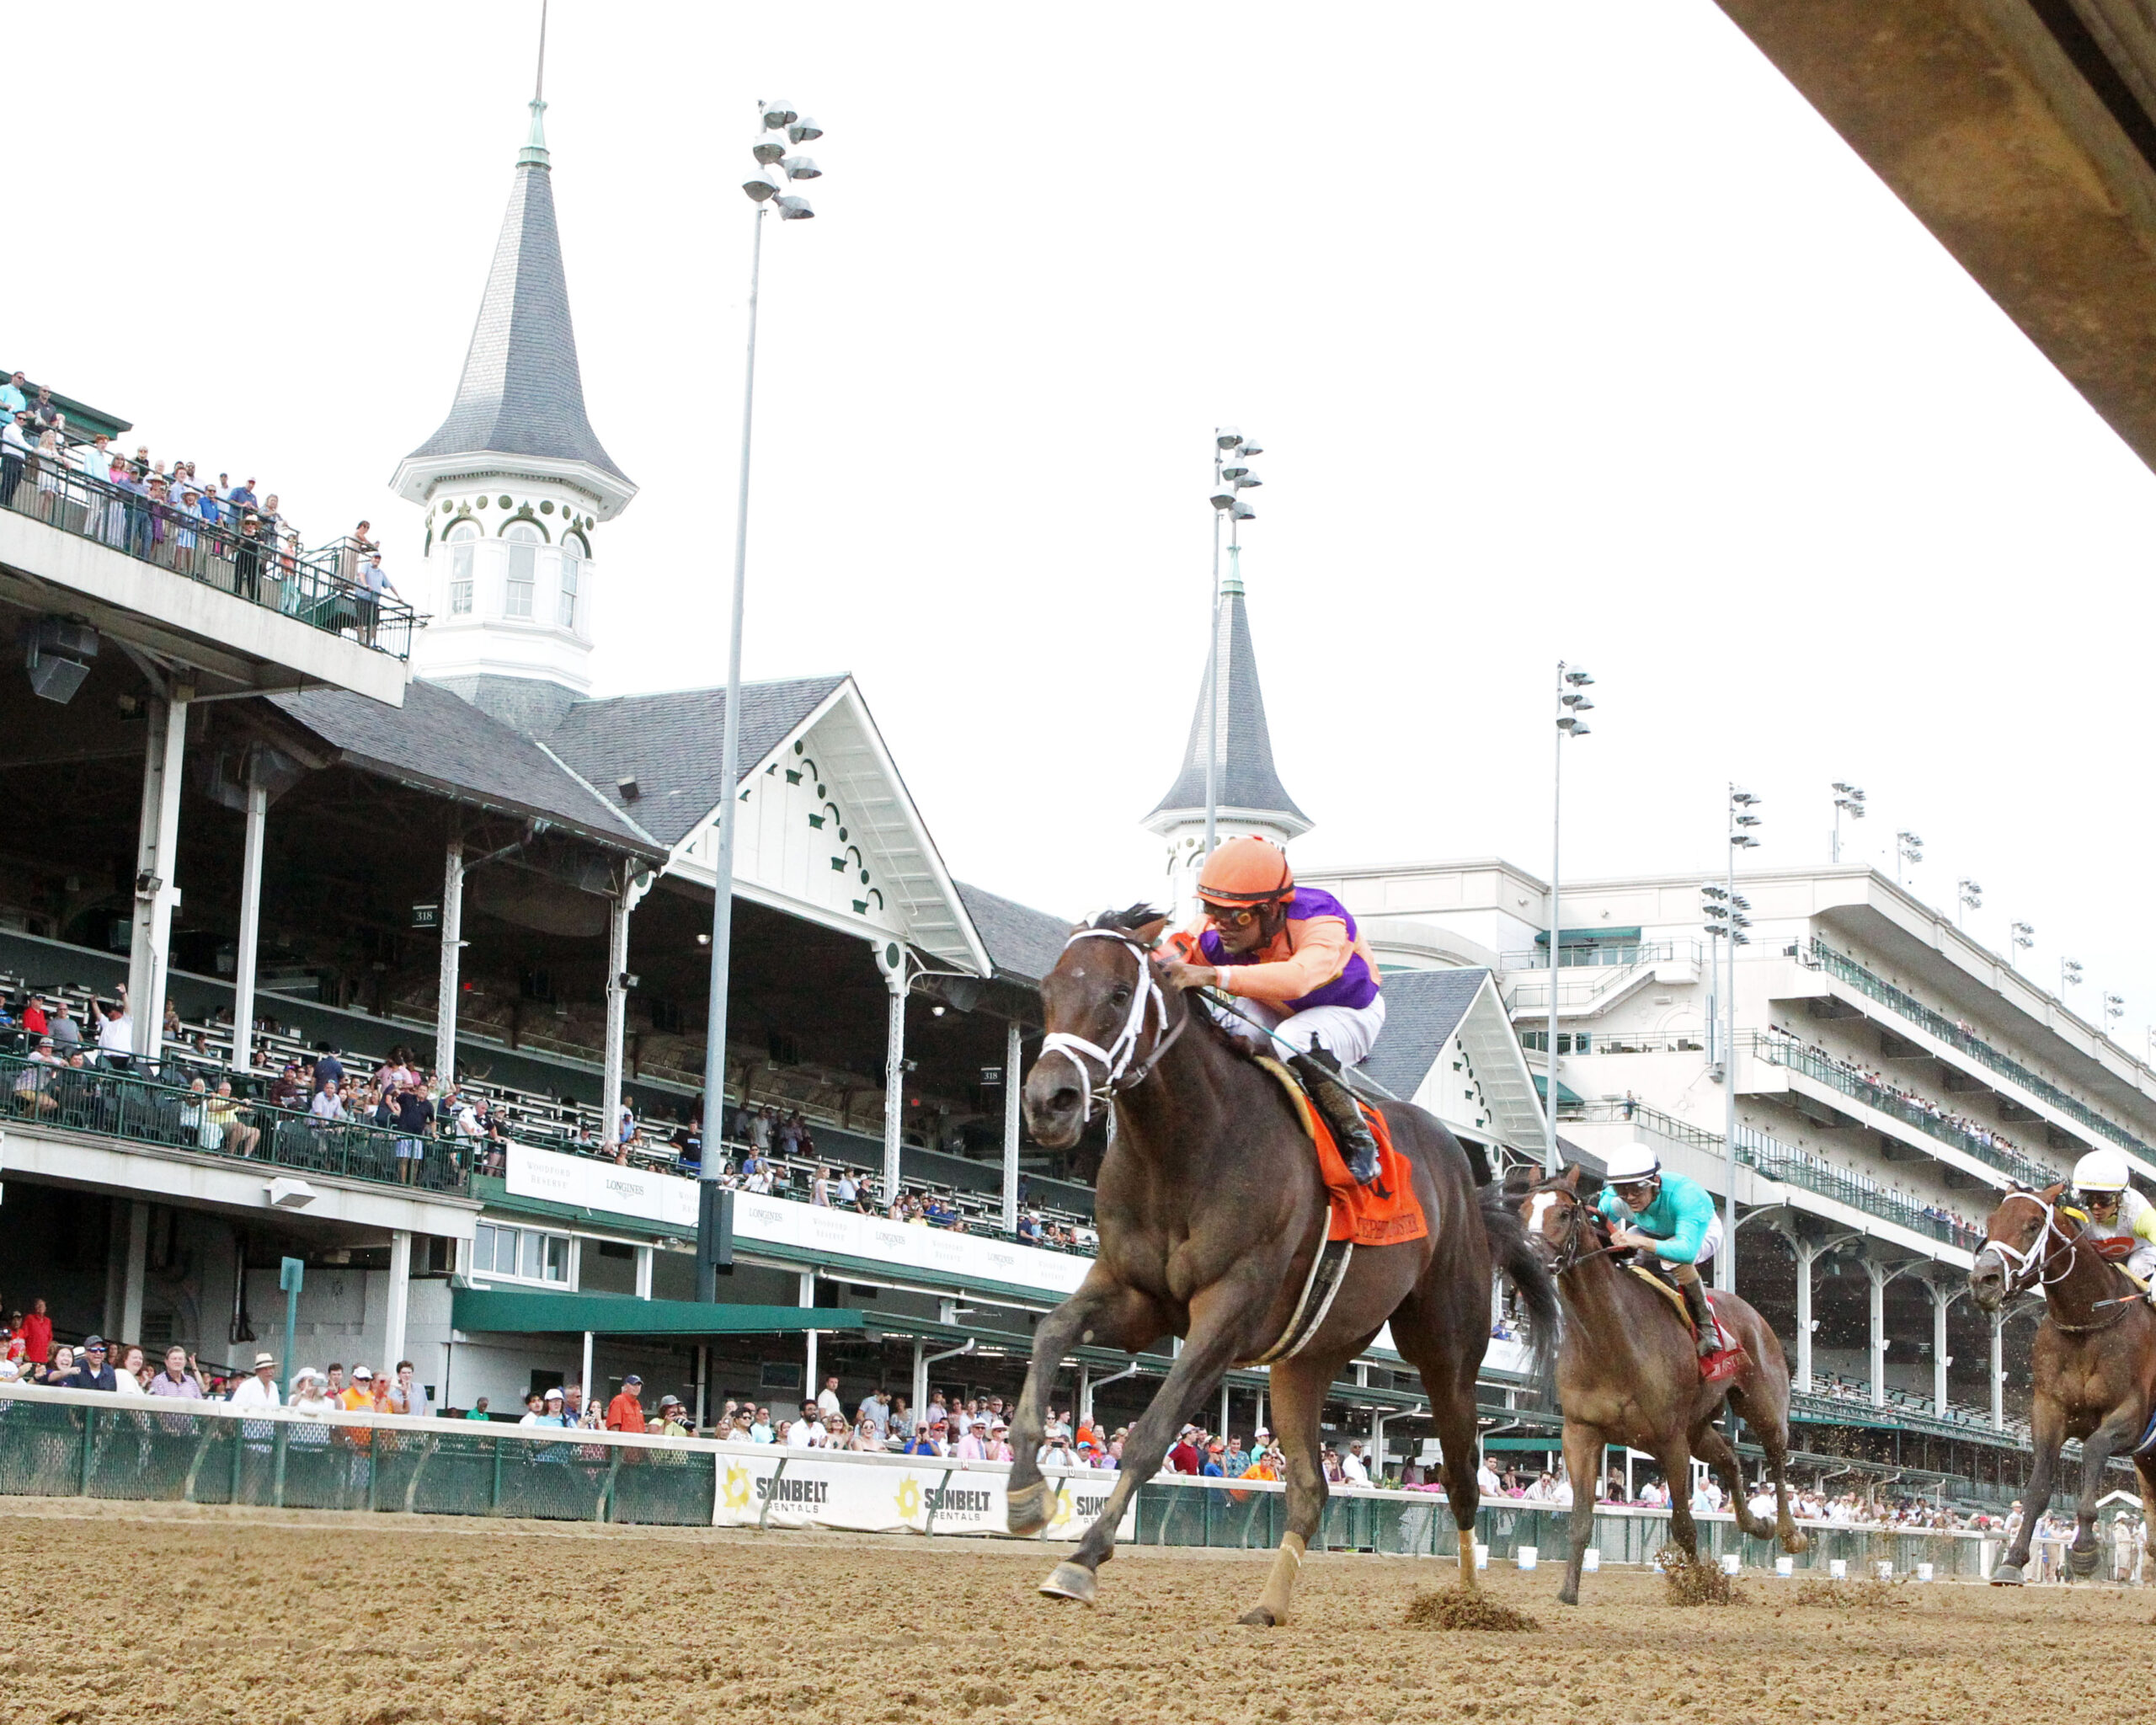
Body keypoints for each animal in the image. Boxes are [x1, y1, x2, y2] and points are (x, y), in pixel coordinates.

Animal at [1000, 910, 1561, 1621]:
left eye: (1120, 995)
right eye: (1047, 991)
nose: (1051, 1101)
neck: (1185, 1148)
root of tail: (1466, 1173)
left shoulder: (1229, 1308)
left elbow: (1153, 1431)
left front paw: (1082, 1558)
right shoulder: (1135, 1294)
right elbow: (1050, 1333)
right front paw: (1025, 1493)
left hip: (1446, 1347)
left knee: (1462, 1478)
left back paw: (1466, 1604)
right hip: (1308, 1356)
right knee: (1310, 1485)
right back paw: (1270, 1603)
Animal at [1526, 1164, 1811, 1612]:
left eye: (1565, 1214)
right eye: (1521, 1209)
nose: (1529, 1259)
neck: (1611, 1339)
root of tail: (1753, 1315)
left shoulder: (1669, 1437)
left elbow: (1684, 1525)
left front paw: (1701, 1587)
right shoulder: (1581, 1432)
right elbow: (1581, 1519)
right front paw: (1568, 1591)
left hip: (1761, 1407)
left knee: (1777, 1461)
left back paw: (1788, 1531)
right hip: (1698, 1427)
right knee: (1730, 1460)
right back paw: (1757, 1523)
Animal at [1974, 1181, 2156, 1587]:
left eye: (2032, 1224)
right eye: (1990, 1222)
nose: (1983, 1281)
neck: (2088, 1323)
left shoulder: (2133, 1414)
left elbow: (2094, 1448)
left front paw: (2085, 1549)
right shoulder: (2049, 1410)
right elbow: (2039, 1486)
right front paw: (2013, 1560)